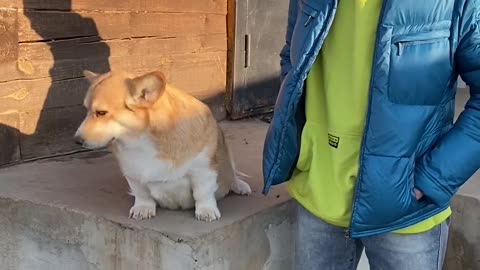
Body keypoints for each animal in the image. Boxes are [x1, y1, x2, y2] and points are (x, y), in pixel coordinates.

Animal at [73, 69, 251, 221]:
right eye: (86, 110)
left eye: (101, 113)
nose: (76, 140)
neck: (142, 140)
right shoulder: (132, 173)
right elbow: (141, 193)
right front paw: (143, 208)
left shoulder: (203, 170)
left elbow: (203, 193)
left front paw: (206, 211)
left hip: (227, 154)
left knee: (232, 174)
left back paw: (240, 186)